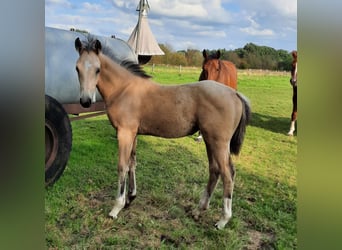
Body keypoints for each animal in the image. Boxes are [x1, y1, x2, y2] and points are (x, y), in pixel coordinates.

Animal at [74, 36, 251, 229]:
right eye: (77, 68)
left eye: (98, 69)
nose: (85, 101)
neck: (124, 89)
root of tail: (235, 94)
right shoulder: (133, 134)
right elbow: (132, 163)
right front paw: (130, 198)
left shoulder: (124, 133)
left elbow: (122, 166)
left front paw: (116, 208)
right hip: (210, 140)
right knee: (215, 170)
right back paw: (198, 211)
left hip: (218, 142)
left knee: (228, 174)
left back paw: (222, 220)